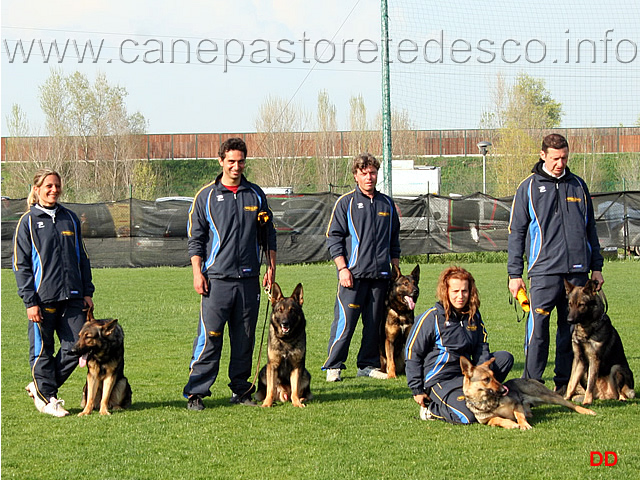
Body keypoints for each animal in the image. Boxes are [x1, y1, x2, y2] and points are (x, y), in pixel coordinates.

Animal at [460, 356, 596, 432]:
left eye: (494, 377)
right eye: (486, 379)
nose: (505, 390)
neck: (488, 401)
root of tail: (528, 377)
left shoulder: (516, 404)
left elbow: (519, 415)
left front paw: (524, 425)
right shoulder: (487, 421)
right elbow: (498, 419)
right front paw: (511, 424)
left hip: (547, 395)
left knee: (570, 404)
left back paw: (587, 411)